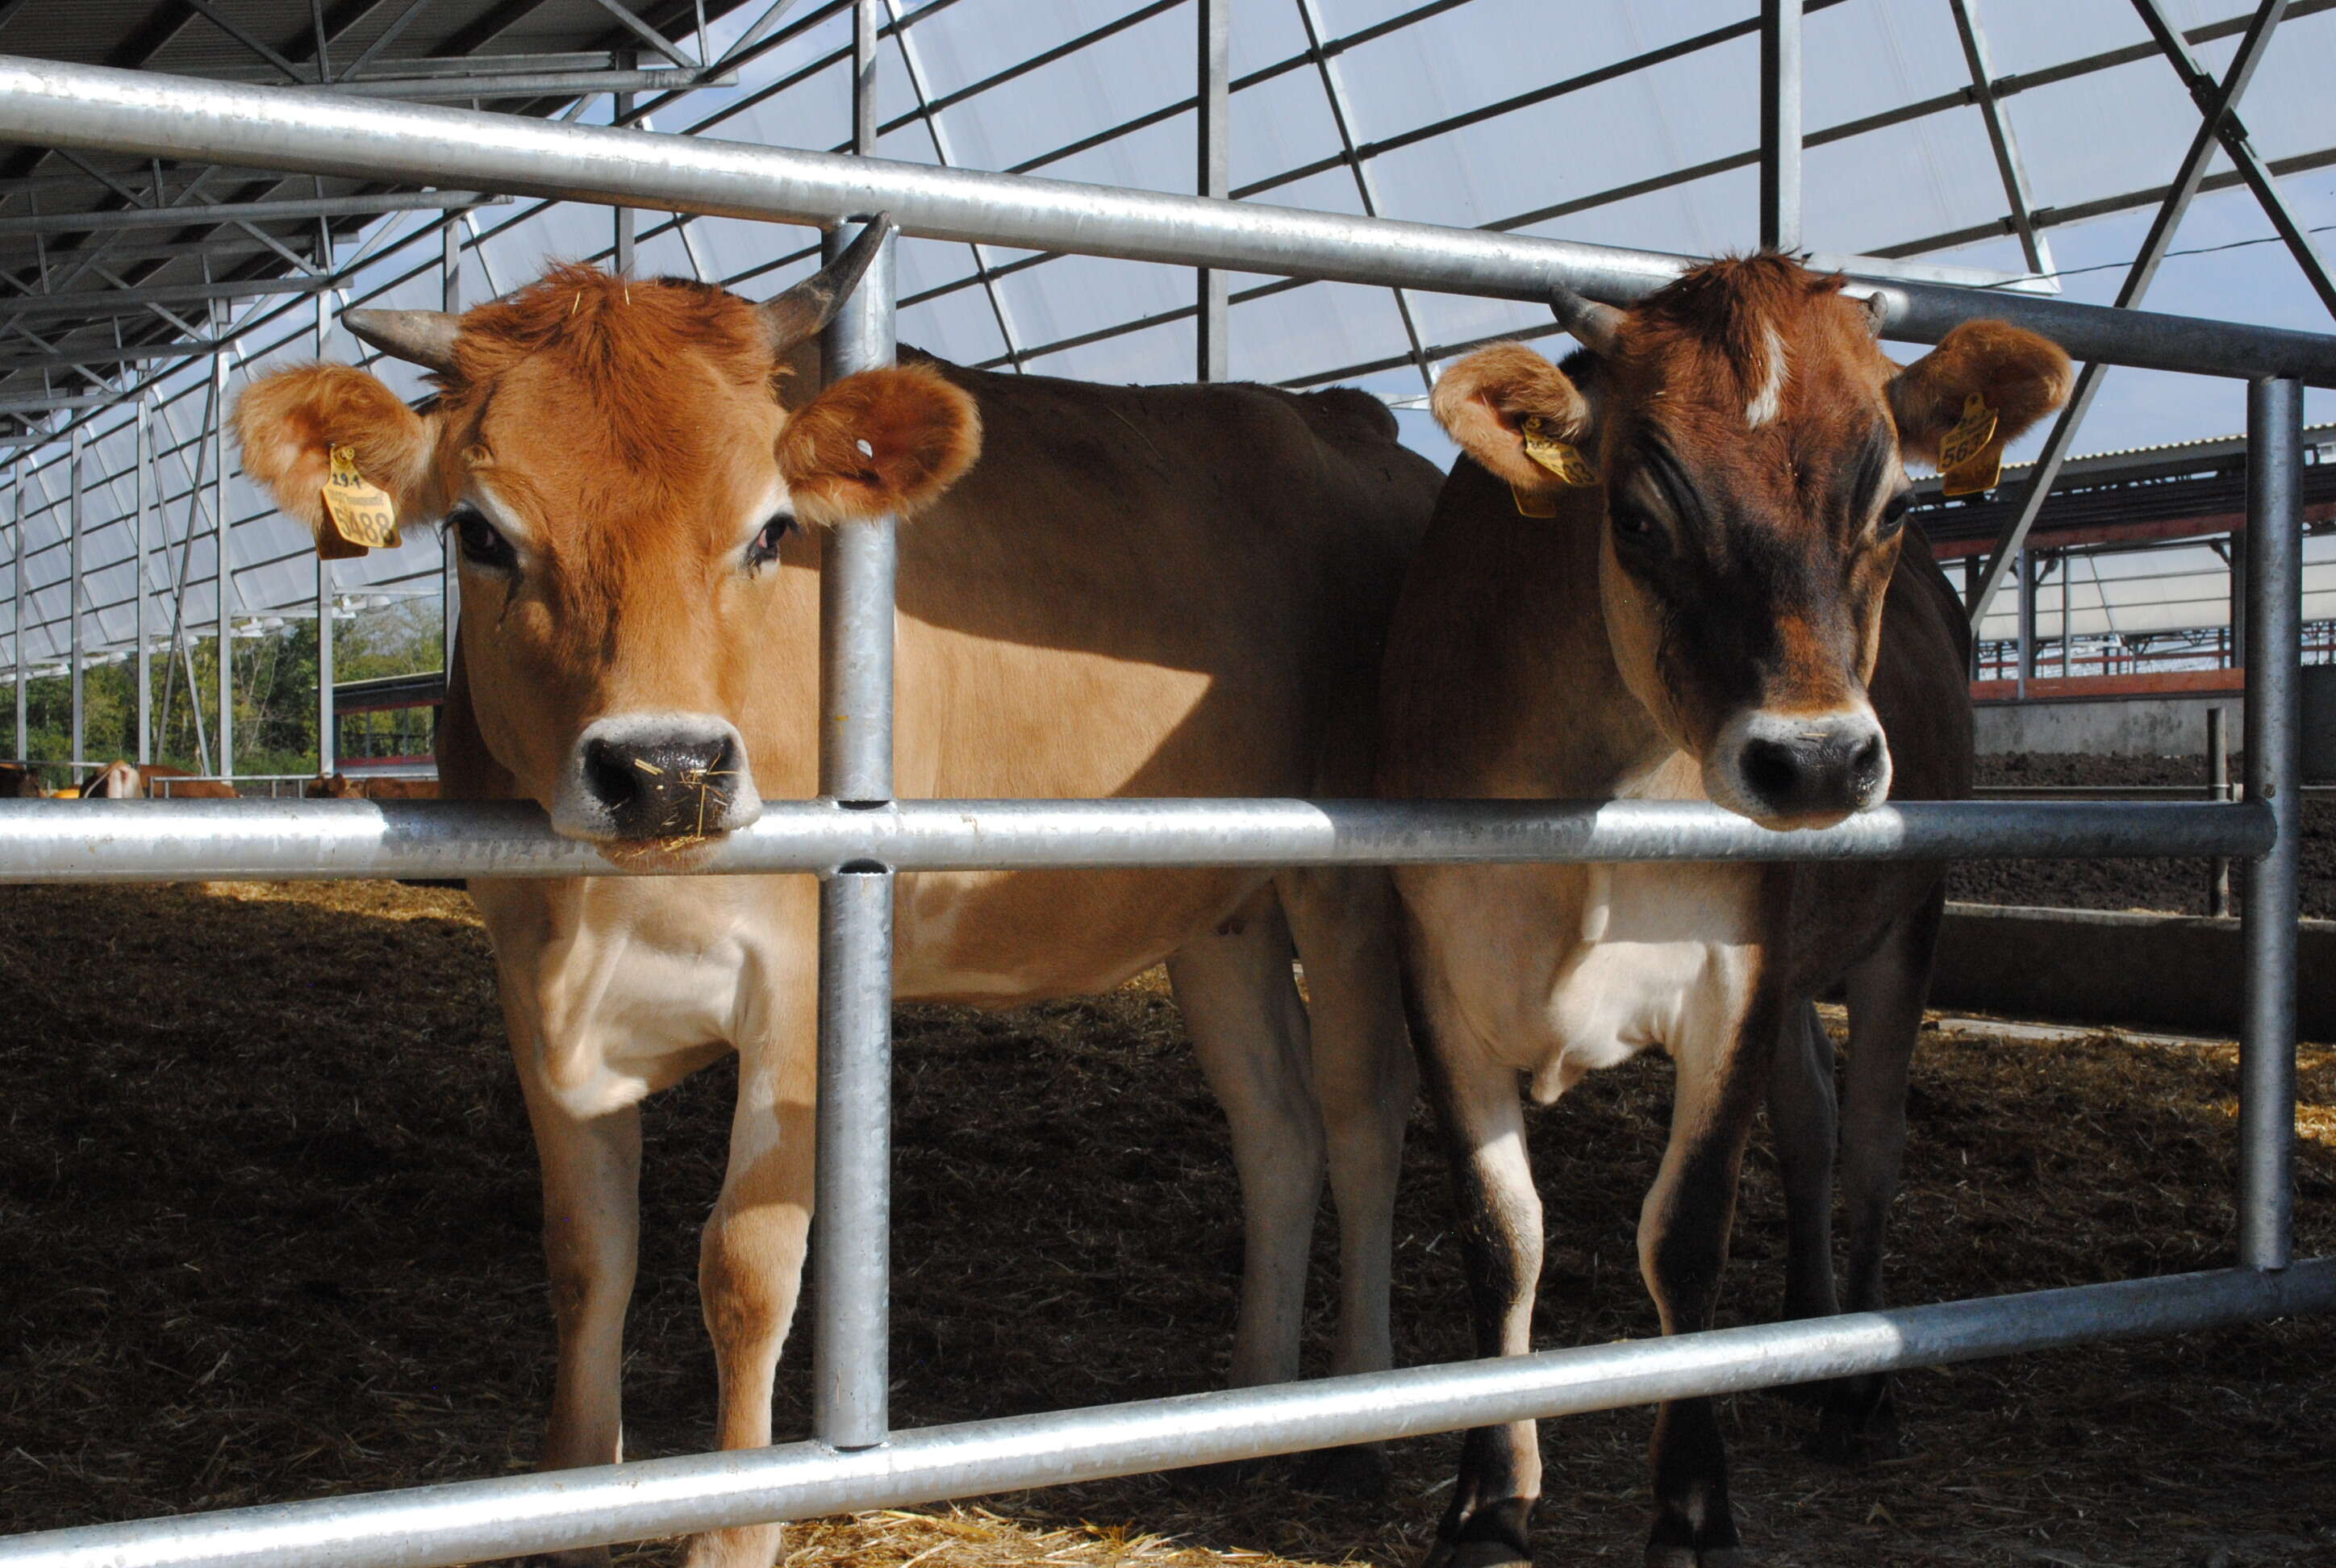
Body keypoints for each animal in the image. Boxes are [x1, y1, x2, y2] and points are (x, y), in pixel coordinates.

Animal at [241, 224, 1438, 1568]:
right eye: (480, 535)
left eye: (771, 533)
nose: (666, 770)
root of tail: (1353, 423)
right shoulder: (525, 968)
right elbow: (586, 1251)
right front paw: (573, 1499)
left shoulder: (803, 973)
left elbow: (747, 1263)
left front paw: (733, 1529)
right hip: (1220, 910)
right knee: (1275, 1127)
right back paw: (1247, 1400)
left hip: (1350, 876)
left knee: (1363, 1114)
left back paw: (1357, 1428)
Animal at [1373, 256, 2074, 1568]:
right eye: (1638, 519)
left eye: (1893, 508)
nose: (1819, 762)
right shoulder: (1436, 969)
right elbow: (1503, 1234)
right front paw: (1488, 1497)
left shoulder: (1732, 974)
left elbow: (1685, 1234)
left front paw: (1693, 1506)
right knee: (1810, 1122)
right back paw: (1802, 1334)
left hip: (1907, 918)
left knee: (1871, 1145)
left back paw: (1857, 1388)